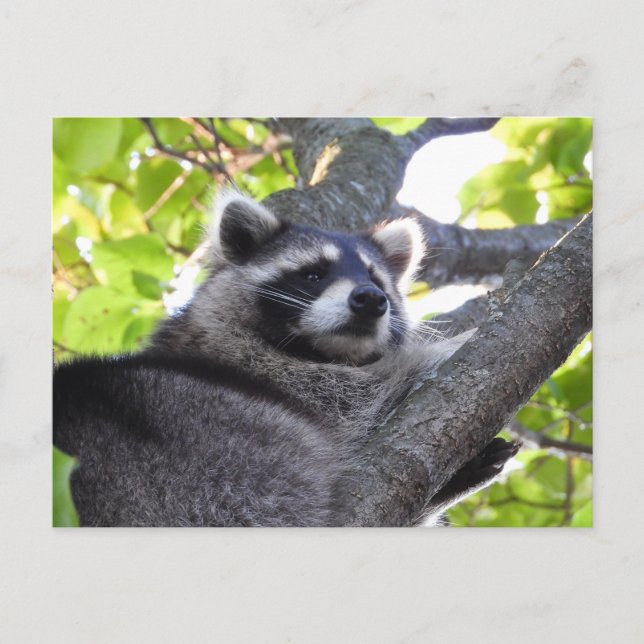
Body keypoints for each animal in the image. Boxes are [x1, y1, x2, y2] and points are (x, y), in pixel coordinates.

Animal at [53, 193, 517, 527]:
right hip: (217, 458)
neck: (320, 348)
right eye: (312, 274)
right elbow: (371, 393)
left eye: (375, 279)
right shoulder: (265, 372)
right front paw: (451, 345)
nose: (371, 300)